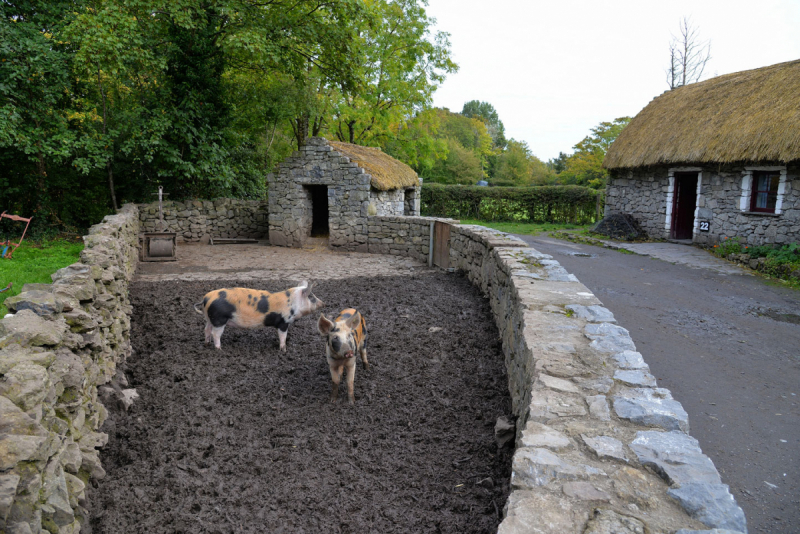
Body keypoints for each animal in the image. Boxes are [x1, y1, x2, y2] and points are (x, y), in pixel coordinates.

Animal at [194, 280, 322, 352]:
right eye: (311, 297)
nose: (323, 303)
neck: (293, 303)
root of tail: (206, 298)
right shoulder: (283, 322)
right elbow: (282, 336)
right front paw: (284, 350)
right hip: (219, 320)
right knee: (215, 334)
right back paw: (219, 349)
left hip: (209, 318)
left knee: (206, 330)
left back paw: (207, 343)